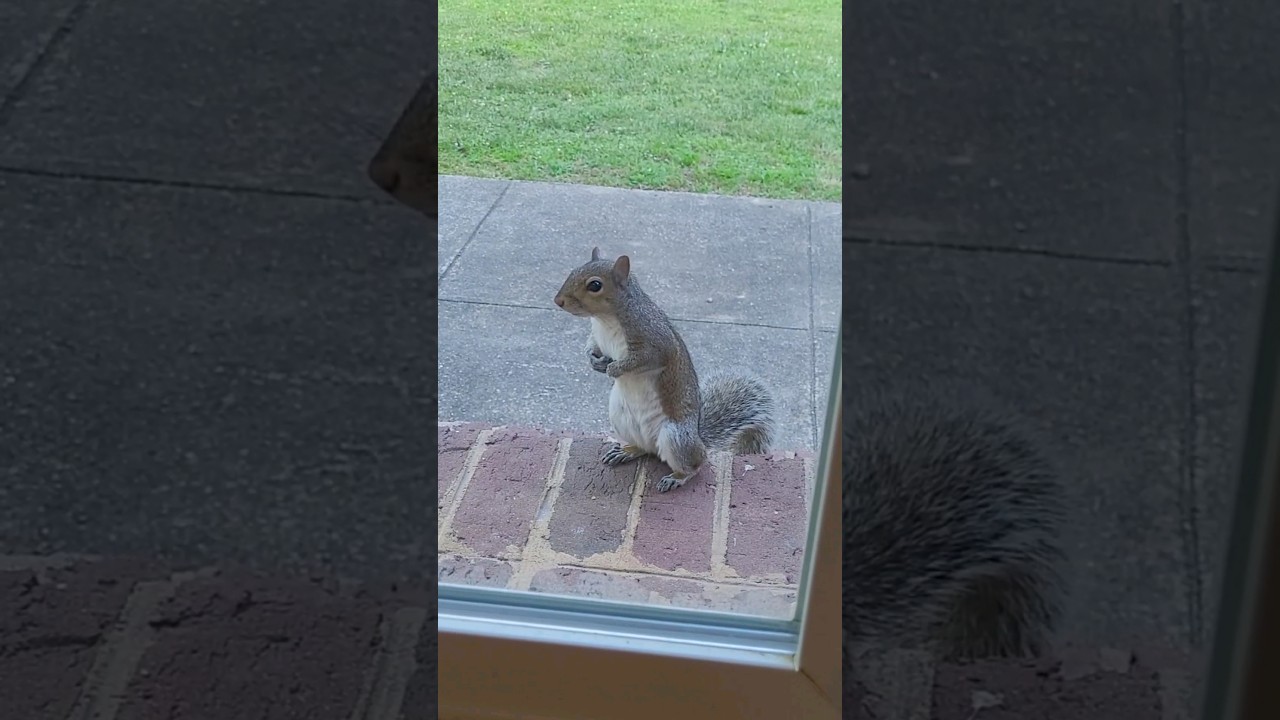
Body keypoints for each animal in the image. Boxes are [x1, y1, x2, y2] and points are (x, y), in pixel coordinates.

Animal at [553, 248, 775, 493]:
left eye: (595, 285)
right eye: (574, 270)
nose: (558, 301)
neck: (605, 319)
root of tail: (698, 438)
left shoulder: (655, 342)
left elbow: (642, 360)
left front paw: (614, 369)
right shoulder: (597, 337)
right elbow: (592, 347)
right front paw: (594, 362)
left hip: (676, 437)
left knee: (696, 464)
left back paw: (677, 477)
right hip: (621, 419)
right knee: (645, 449)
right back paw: (626, 451)